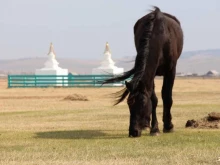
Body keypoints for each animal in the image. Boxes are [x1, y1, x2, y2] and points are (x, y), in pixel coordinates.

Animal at [104, 6, 183, 137]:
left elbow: (167, 97)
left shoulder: (171, 70)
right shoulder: (152, 74)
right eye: (129, 103)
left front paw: (168, 126)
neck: (160, 36)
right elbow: (153, 99)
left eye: (142, 103)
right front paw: (154, 129)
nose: (133, 132)